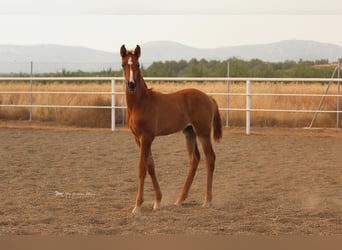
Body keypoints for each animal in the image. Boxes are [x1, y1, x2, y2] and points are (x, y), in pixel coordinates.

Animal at [120, 45, 222, 213]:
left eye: (138, 65)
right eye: (123, 65)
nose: (131, 84)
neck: (140, 103)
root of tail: (209, 98)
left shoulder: (146, 137)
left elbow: (142, 168)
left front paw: (138, 205)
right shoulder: (138, 138)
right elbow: (150, 165)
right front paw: (157, 201)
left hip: (203, 132)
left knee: (210, 158)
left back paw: (207, 200)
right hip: (189, 132)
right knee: (194, 159)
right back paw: (180, 199)